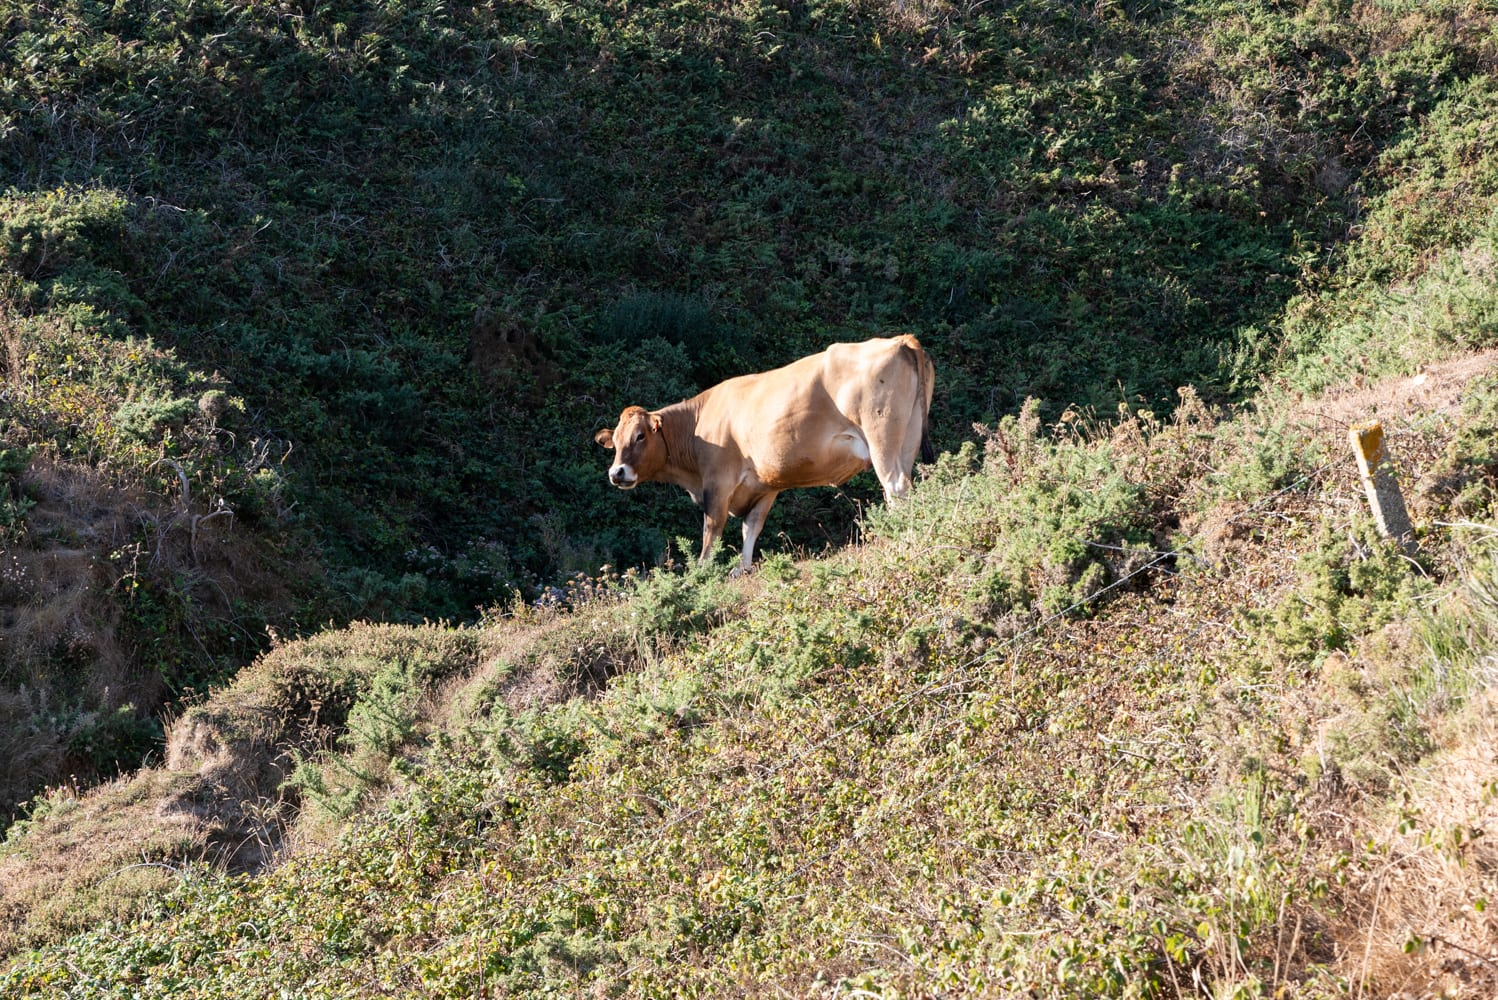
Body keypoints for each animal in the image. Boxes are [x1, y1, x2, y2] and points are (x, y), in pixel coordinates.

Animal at [590, 333, 928, 568]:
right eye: (615, 441)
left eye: (640, 436)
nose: (616, 472)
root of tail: (900, 340)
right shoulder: (765, 485)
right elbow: (750, 527)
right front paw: (741, 568)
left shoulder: (718, 482)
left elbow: (711, 531)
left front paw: (701, 572)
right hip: (907, 438)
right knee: (906, 486)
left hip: (881, 436)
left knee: (894, 486)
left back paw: (898, 534)